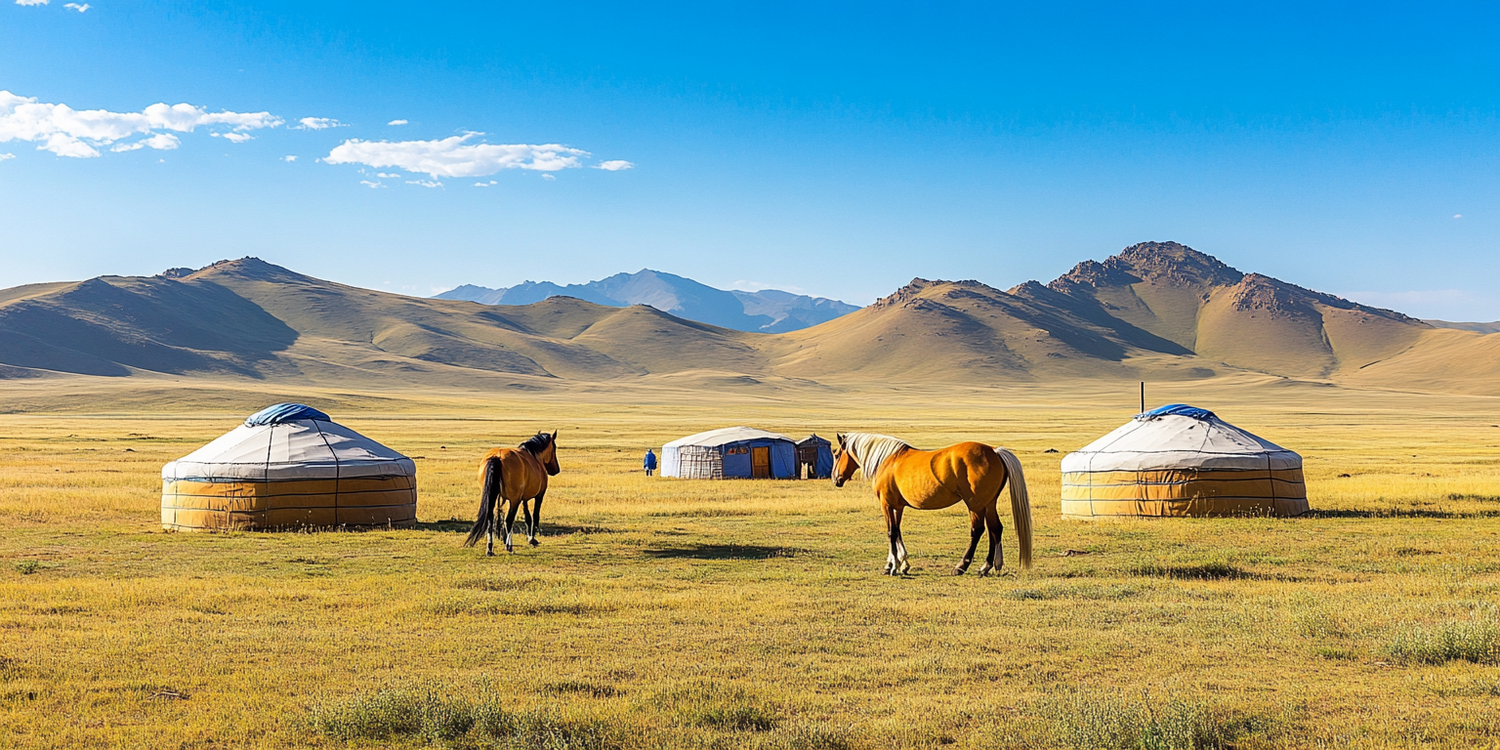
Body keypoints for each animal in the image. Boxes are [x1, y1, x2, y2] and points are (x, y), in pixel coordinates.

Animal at [834, 432, 1032, 576]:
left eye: (836, 455)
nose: (836, 479)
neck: (888, 460)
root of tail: (994, 451)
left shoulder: (887, 504)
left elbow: (891, 533)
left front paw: (892, 566)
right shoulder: (898, 507)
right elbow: (898, 531)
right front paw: (902, 564)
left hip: (975, 505)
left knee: (978, 530)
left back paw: (961, 567)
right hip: (989, 503)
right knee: (995, 529)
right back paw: (988, 566)